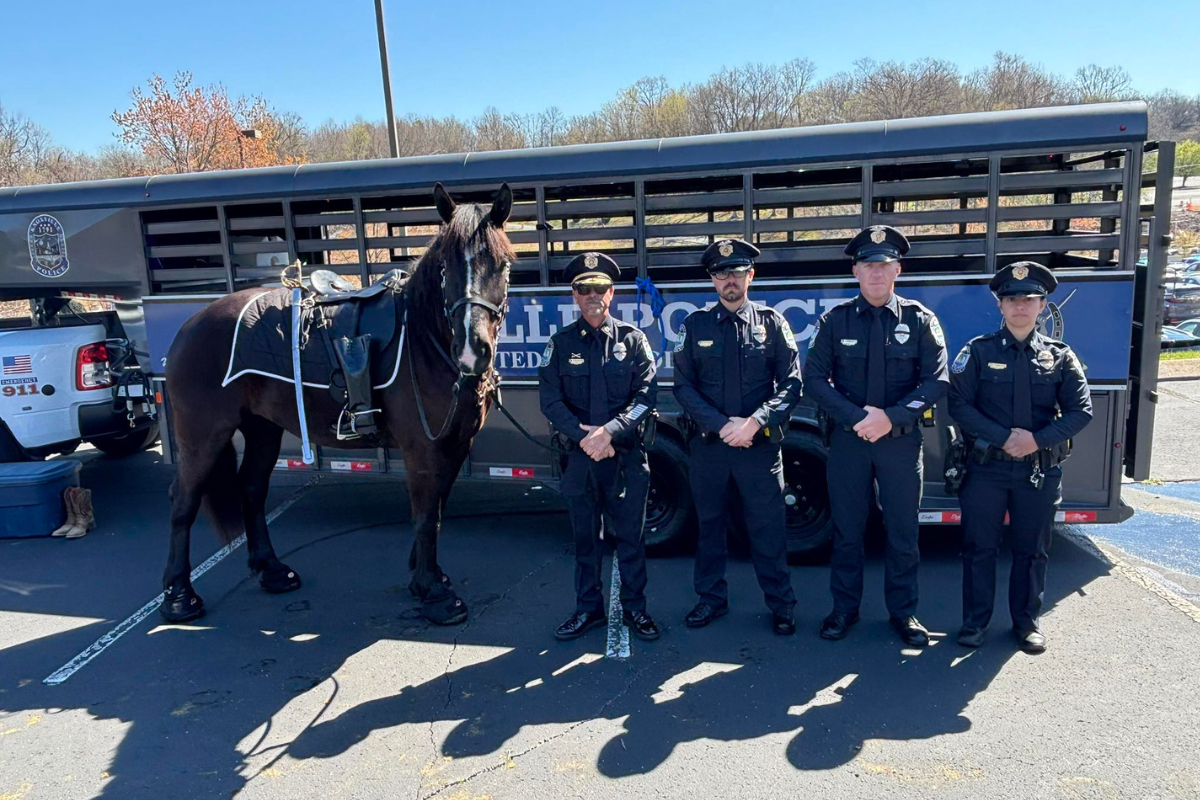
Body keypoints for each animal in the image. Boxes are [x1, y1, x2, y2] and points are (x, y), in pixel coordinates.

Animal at [160, 185, 516, 623]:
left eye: (503, 266)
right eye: (447, 268)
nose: (472, 350)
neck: (422, 339)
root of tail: (189, 327)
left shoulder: (456, 444)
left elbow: (437, 510)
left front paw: (425, 577)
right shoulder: (423, 449)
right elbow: (425, 514)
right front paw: (434, 593)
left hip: (262, 429)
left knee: (252, 488)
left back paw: (271, 570)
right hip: (202, 435)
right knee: (183, 500)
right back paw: (179, 597)